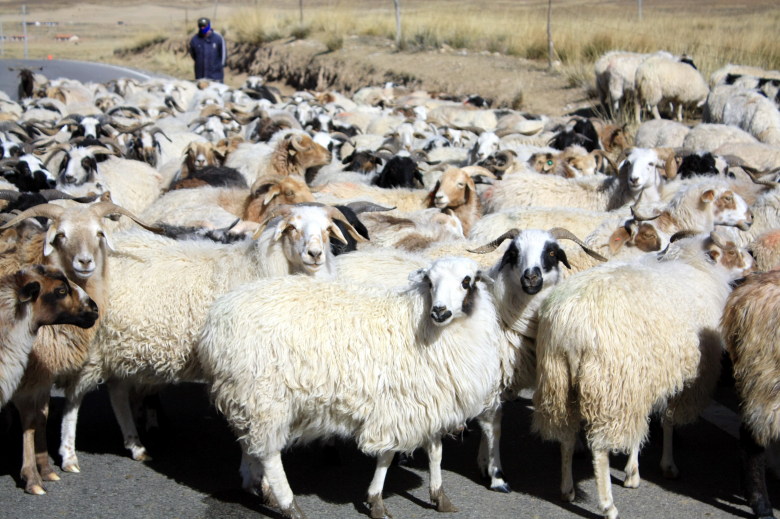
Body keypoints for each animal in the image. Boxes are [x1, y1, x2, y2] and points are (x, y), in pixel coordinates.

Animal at [58, 203, 368, 472]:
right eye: (291, 228)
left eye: (327, 229)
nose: (314, 254)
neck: (261, 268)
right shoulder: (246, 367)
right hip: (93, 347)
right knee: (73, 399)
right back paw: (69, 455)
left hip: (120, 346)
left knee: (118, 393)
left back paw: (136, 446)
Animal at [195, 256, 506, 519]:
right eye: (429, 281)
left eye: (467, 281)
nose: (439, 311)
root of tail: (217, 318)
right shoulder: (398, 405)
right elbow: (387, 455)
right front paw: (376, 501)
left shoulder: (428, 402)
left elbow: (435, 452)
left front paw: (439, 496)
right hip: (266, 396)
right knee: (269, 454)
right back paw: (289, 504)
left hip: (248, 396)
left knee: (252, 444)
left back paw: (260, 487)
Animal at [532, 234, 752, 519]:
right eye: (731, 252)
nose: (753, 260)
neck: (697, 267)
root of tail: (571, 327)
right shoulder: (663, 379)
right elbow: (666, 420)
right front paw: (660, 467)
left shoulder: (644, 378)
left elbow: (643, 425)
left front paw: (633, 470)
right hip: (609, 386)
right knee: (600, 449)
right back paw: (608, 505)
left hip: (557, 381)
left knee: (567, 437)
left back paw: (567, 490)